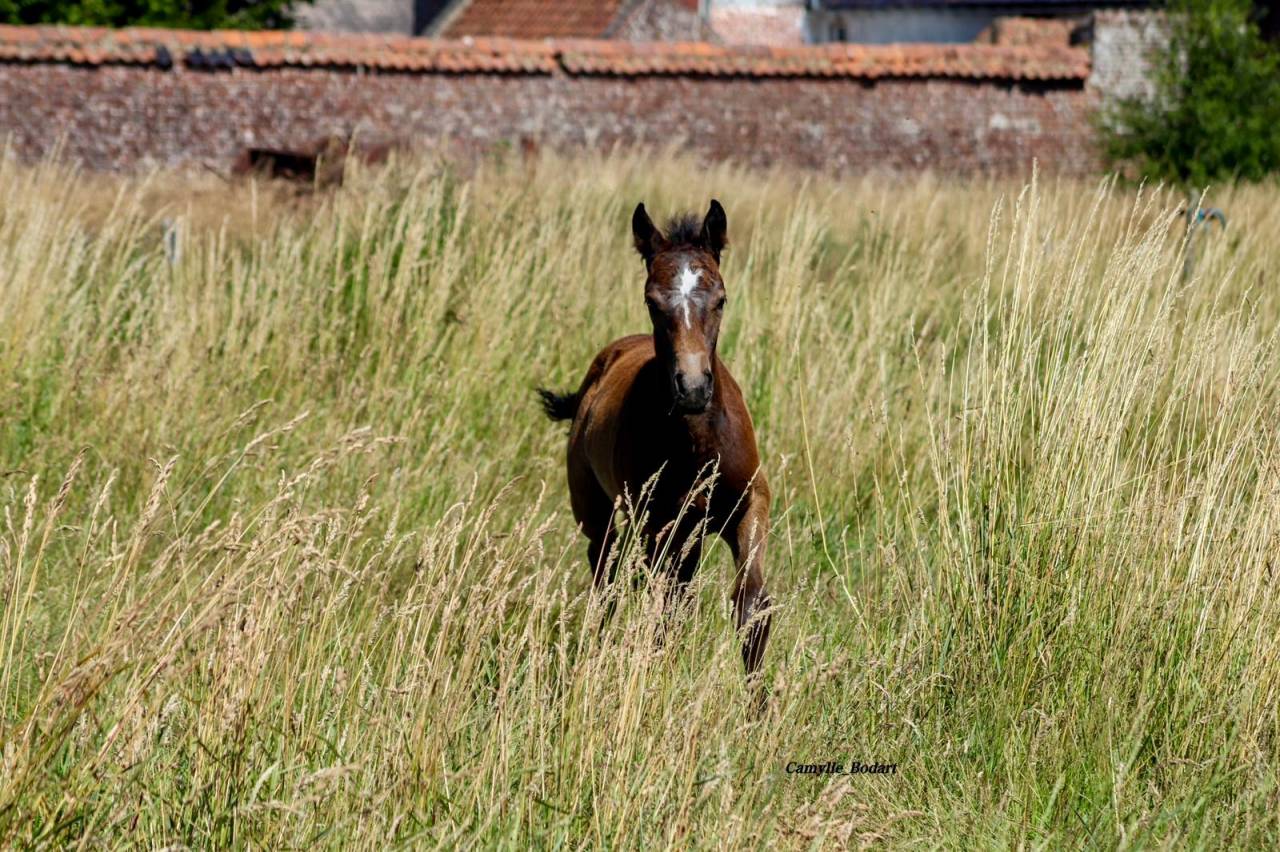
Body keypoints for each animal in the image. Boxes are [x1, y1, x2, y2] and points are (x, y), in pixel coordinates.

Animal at [537, 199, 772, 698]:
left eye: (720, 298)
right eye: (651, 301)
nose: (693, 388)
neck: (698, 445)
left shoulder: (749, 503)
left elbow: (751, 606)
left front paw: (760, 708)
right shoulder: (658, 526)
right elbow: (661, 612)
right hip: (605, 518)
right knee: (608, 578)